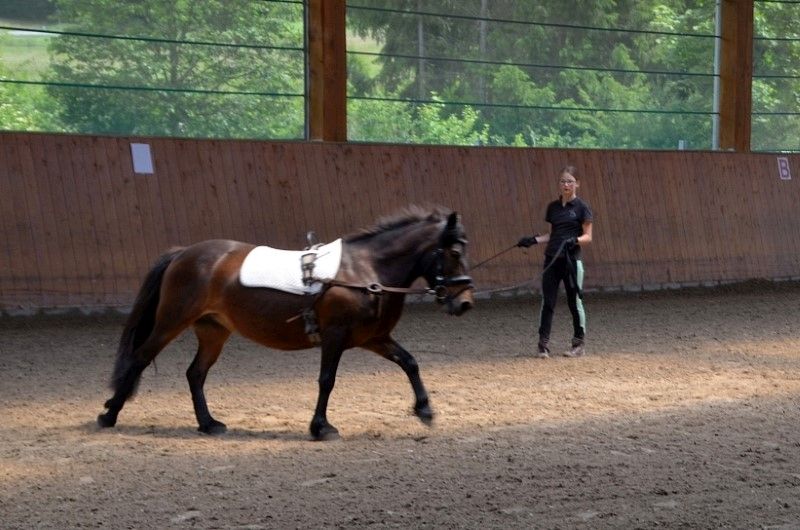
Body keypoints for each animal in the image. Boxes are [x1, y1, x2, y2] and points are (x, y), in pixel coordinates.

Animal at [100, 205, 476, 438]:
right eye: (455, 252)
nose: (465, 303)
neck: (365, 272)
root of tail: (183, 253)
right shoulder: (335, 336)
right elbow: (327, 380)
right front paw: (321, 427)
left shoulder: (373, 337)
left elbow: (409, 362)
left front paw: (425, 411)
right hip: (172, 320)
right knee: (140, 358)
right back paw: (109, 415)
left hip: (213, 330)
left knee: (196, 373)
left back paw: (208, 424)